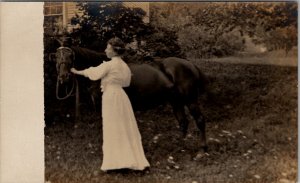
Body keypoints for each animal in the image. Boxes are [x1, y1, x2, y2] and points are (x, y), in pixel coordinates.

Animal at [54, 45, 207, 150]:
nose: (63, 77)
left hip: (190, 100)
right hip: (176, 102)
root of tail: (191, 65)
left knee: (199, 120)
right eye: (57, 58)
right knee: (183, 122)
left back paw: (202, 149)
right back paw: (180, 147)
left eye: (70, 57)